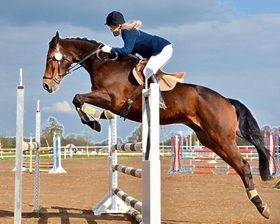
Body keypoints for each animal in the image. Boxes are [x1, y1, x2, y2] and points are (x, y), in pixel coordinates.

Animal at [42, 31, 272, 219]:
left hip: (221, 137)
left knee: (243, 165)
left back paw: (262, 206)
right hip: (210, 140)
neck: (104, 65)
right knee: (238, 165)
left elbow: (78, 98)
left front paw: (93, 122)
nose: (46, 85)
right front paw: (96, 119)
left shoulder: (112, 98)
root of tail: (226, 100)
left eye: (50, 58)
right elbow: (79, 100)